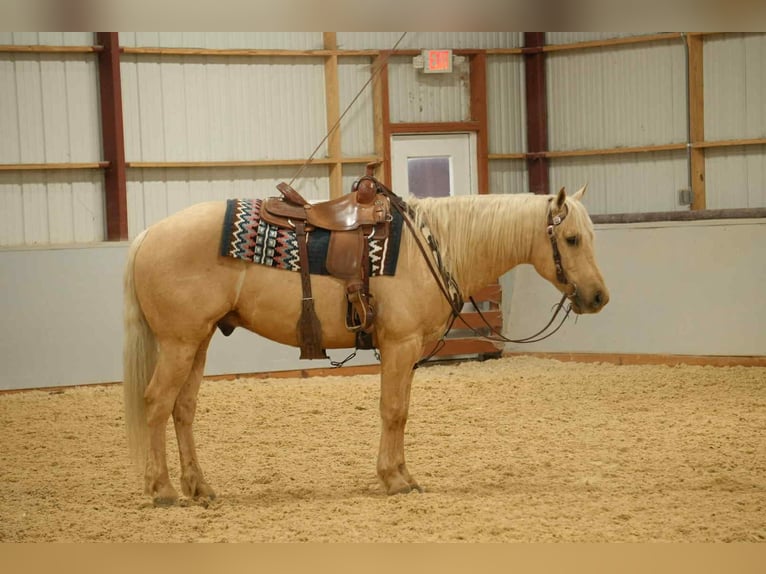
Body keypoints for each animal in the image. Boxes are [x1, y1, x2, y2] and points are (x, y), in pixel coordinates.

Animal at [123, 184, 609, 505]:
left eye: (591, 237)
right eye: (571, 239)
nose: (598, 297)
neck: (431, 247)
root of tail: (148, 234)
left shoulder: (408, 353)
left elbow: (402, 413)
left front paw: (403, 475)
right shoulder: (399, 346)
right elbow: (393, 411)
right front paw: (393, 480)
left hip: (198, 341)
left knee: (183, 409)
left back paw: (200, 488)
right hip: (179, 343)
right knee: (157, 403)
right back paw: (163, 490)